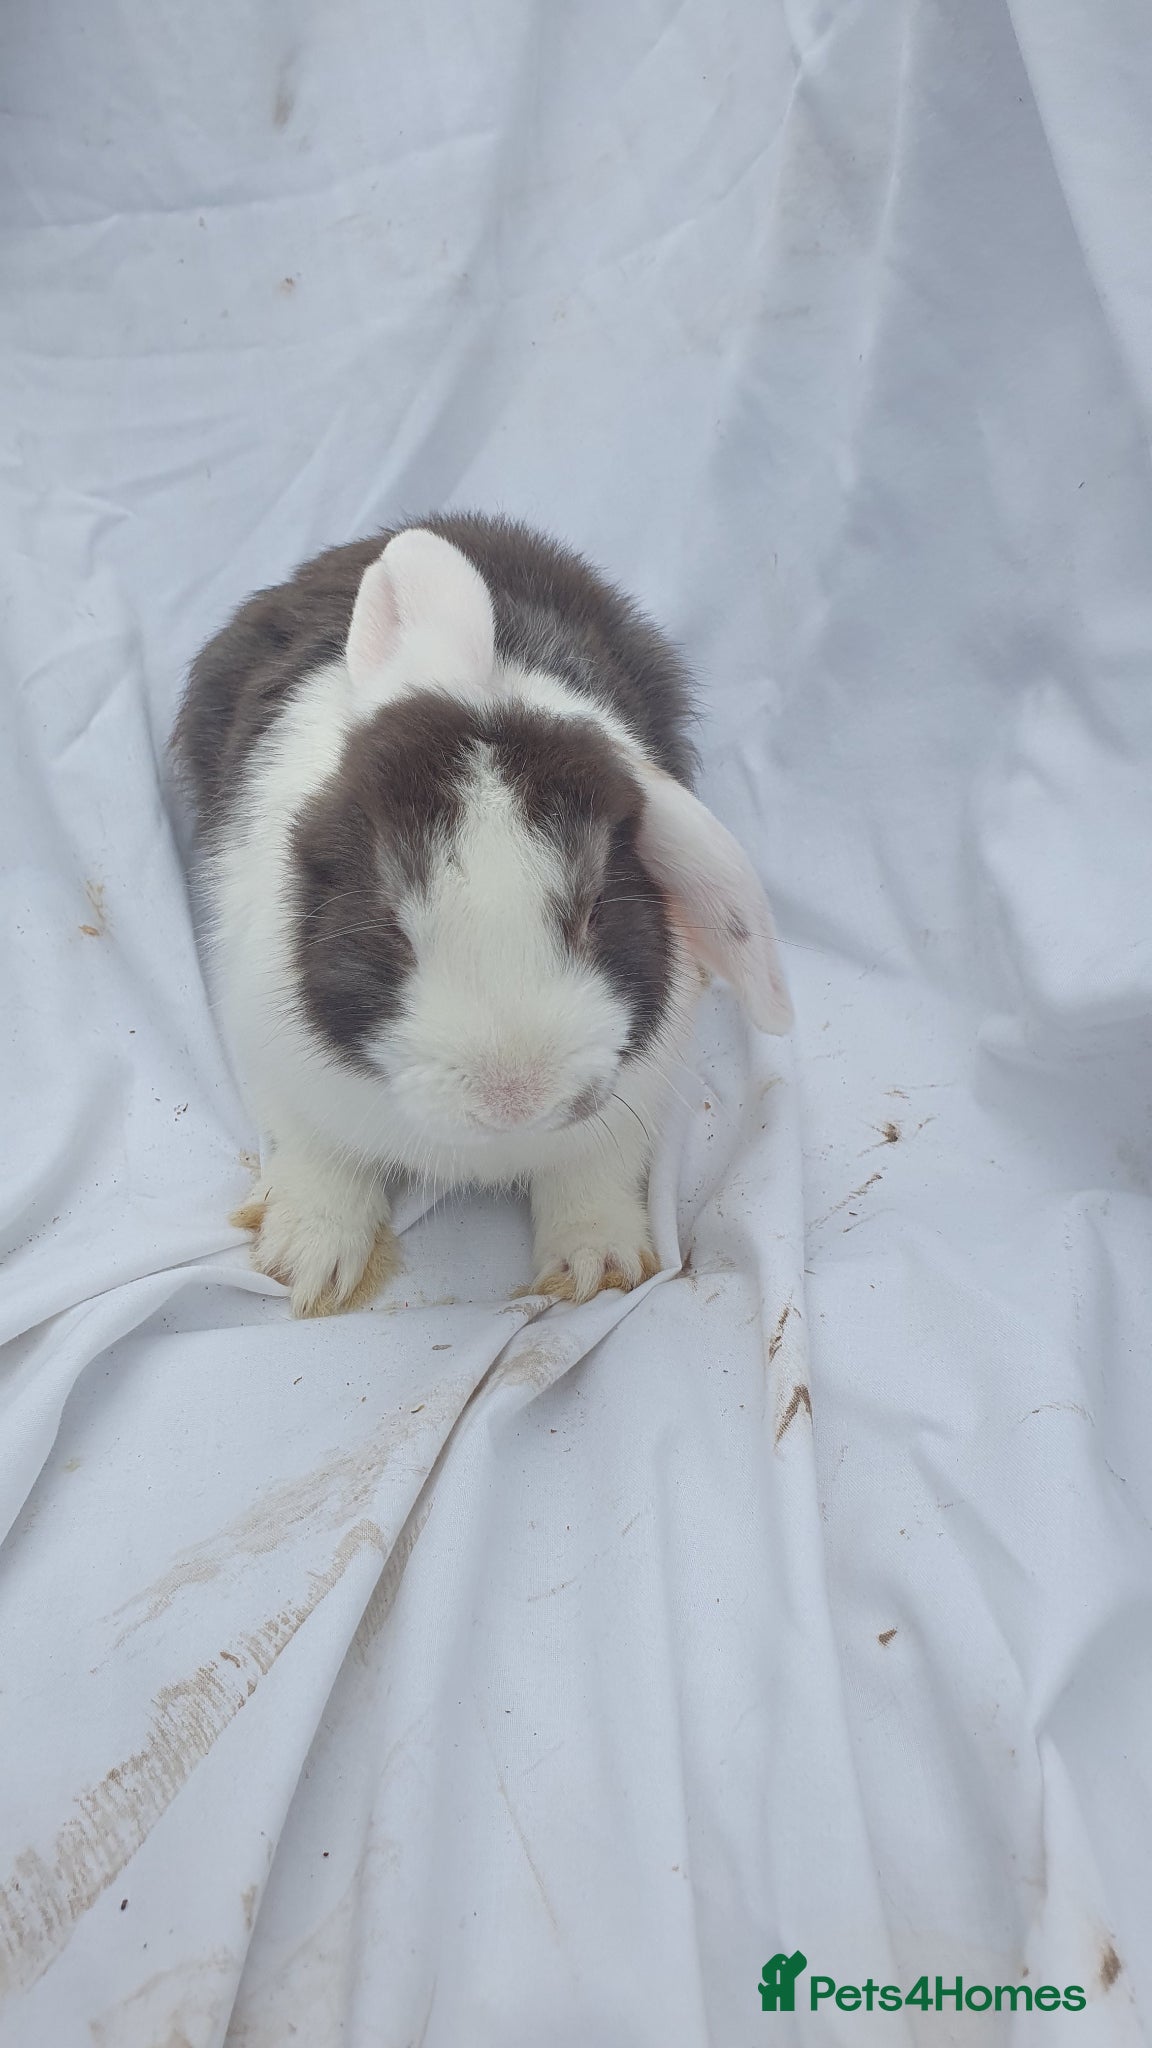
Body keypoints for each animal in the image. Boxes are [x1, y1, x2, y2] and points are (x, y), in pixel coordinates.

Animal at [172, 513, 792, 1316]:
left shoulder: (629, 1104)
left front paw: (594, 1264)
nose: (514, 1097)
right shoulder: (277, 1067)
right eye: (390, 926)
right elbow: (319, 1153)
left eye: (594, 909)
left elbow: (594, 1167)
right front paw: (309, 1261)